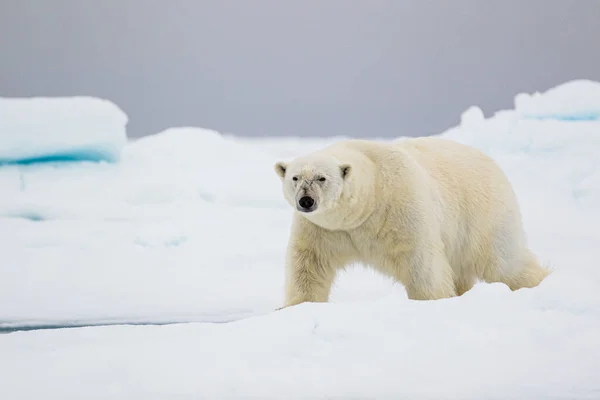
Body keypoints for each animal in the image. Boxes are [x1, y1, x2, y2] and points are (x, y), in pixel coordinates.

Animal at [274, 136, 552, 308]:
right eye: (295, 178)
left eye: (322, 178)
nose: (306, 201)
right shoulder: (323, 229)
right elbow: (309, 264)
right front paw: (294, 307)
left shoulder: (401, 207)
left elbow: (421, 261)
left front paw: (431, 300)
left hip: (483, 213)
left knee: (504, 261)